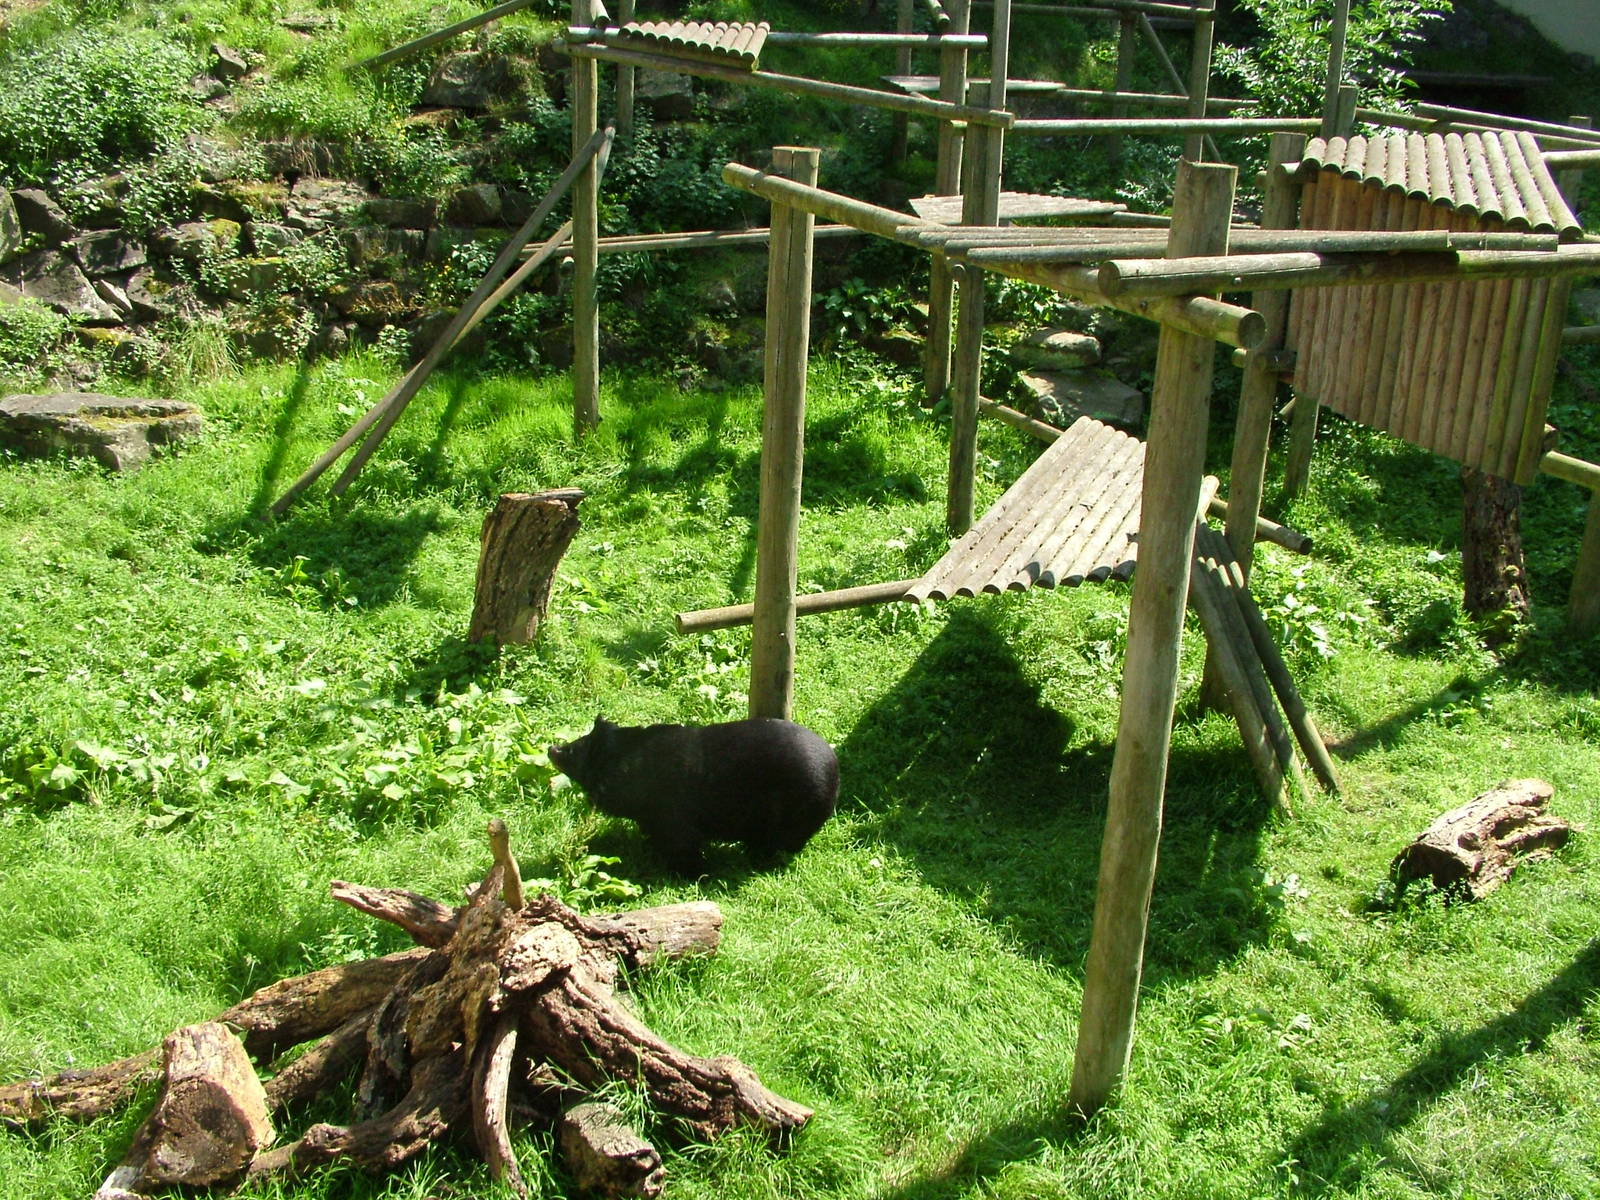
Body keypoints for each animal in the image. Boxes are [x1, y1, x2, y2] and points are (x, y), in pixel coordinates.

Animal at [549, 716, 839, 872]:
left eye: (574, 749)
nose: (552, 748)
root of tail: (835, 770)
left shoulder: (671, 812)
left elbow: (681, 843)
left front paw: (690, 872)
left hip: (795, 807)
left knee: (783, 842)